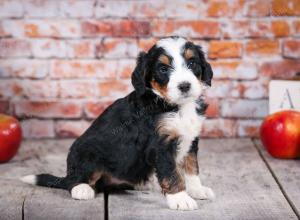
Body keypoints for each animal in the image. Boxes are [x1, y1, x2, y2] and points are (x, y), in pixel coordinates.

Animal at [21, 37, 213, 211]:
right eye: (163, 69)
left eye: (192, 63)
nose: (185, 86)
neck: (175, 105)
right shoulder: (160, 145)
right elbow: (170, 172)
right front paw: (180, 198)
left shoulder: (190, 139)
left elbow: (191, 167)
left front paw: (197, 190)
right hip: (86, 152)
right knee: (73, 180)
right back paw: (81, 189)